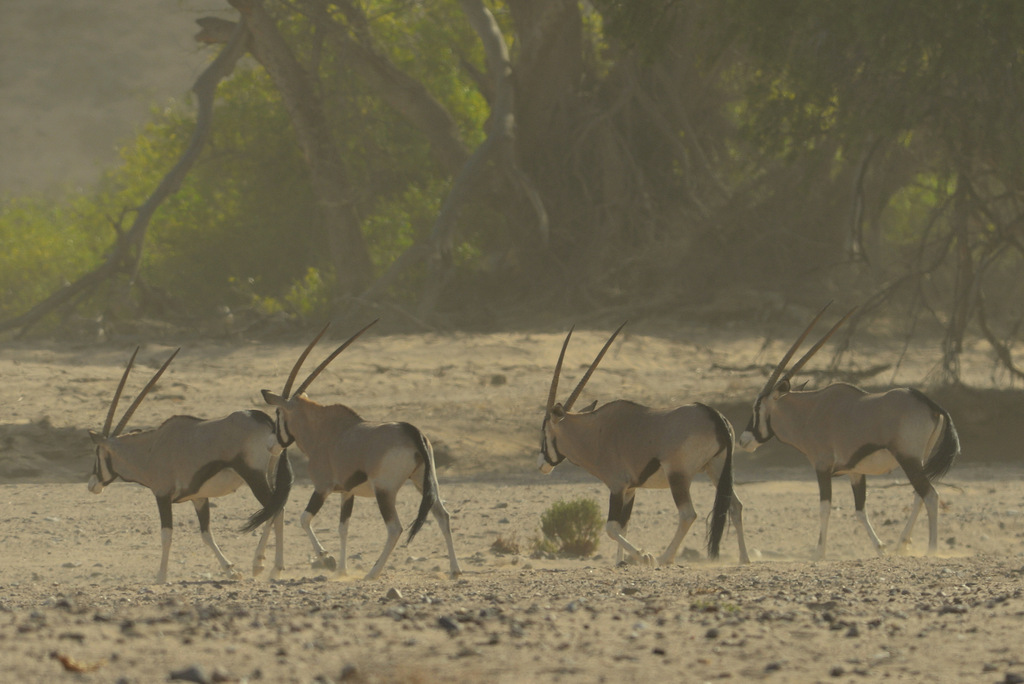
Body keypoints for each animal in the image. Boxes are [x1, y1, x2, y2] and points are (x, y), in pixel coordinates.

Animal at [88, 348, 292, 581]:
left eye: (97, 453)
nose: (92, 485)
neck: (150, 450)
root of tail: (264, 419)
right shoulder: (199, 498)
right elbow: (206, 535)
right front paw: (230, 570)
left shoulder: (162, 495)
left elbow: (166, 535)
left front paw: (161, 577)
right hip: (268, 474)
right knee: (277, 508)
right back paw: (271, 566)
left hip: (254, 476)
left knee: (275, 509)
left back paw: (264, 566)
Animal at [262, 319, 462, 577]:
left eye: (278, 413)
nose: (271, 444)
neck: (323, 431)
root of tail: (412, 432)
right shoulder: (347, 493)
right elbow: (343, 528)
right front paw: (341, 570)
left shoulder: (323, 487)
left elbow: (304, 519)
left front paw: (326, 558)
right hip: (423, 480)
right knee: (442, 516)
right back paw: (455, 570)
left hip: (384, 490)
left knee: (395, 528)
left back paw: (373, 573)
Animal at [540, 325, 749, 565]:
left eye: (543, 432)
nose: (542, 464)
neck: (594, 432)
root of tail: (714, 416)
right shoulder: (630, 489)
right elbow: (623, 526)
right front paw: (621, 562)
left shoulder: (617, 486)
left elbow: (611, 528)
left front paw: (643, 555)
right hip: (716, 469)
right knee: (735, 505)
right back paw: (744, 558)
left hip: (678, 475)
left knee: (688, 514)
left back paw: (664, 557)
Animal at [737, 305, 958, 561]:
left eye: (756, 407)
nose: (743, 440)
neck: (810, 412)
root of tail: (931, 404)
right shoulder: (855, 472)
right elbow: (860, 511)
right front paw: (880, 548)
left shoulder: (822, 467)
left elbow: (825, 508)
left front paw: (819, 553)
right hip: (918, 460)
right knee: (918, 495)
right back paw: (902, 544)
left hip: (908, 458)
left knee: (930, 495)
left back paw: (932, 549)